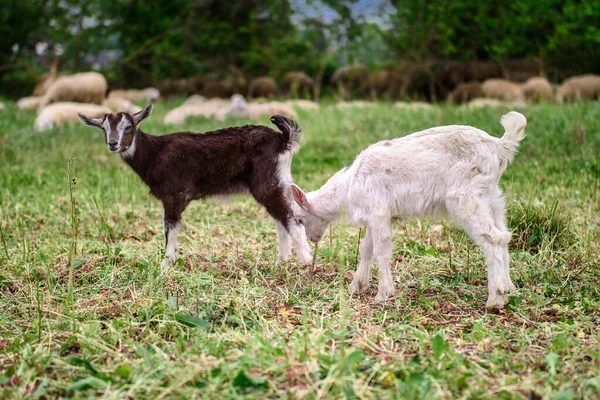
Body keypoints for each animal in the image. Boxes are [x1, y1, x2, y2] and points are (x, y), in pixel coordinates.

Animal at [78, 104, 312, 266]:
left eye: (128, 127)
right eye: (104, 129)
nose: (113, 144)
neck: (155, 153)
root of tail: (283, 140)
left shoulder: (174, 194)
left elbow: (170, 229)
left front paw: (166, 264)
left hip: (267, 183)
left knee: (292, 221)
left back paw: (306, 262)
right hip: (278, 183)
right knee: (281, 221)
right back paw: (280, 262)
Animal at [290, 112, 524, 310]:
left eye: (300, 219)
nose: (312, 239)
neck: (349, 187)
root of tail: (499, 146)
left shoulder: (378, 210)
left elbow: (381, 249)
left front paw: (383, 293)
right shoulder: (382, 216)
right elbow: (366, 247)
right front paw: (357, 286)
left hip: (464, 197)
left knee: (492, 238)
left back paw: (495, 299)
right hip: (492, 197)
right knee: (503, 235)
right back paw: (508, 288)